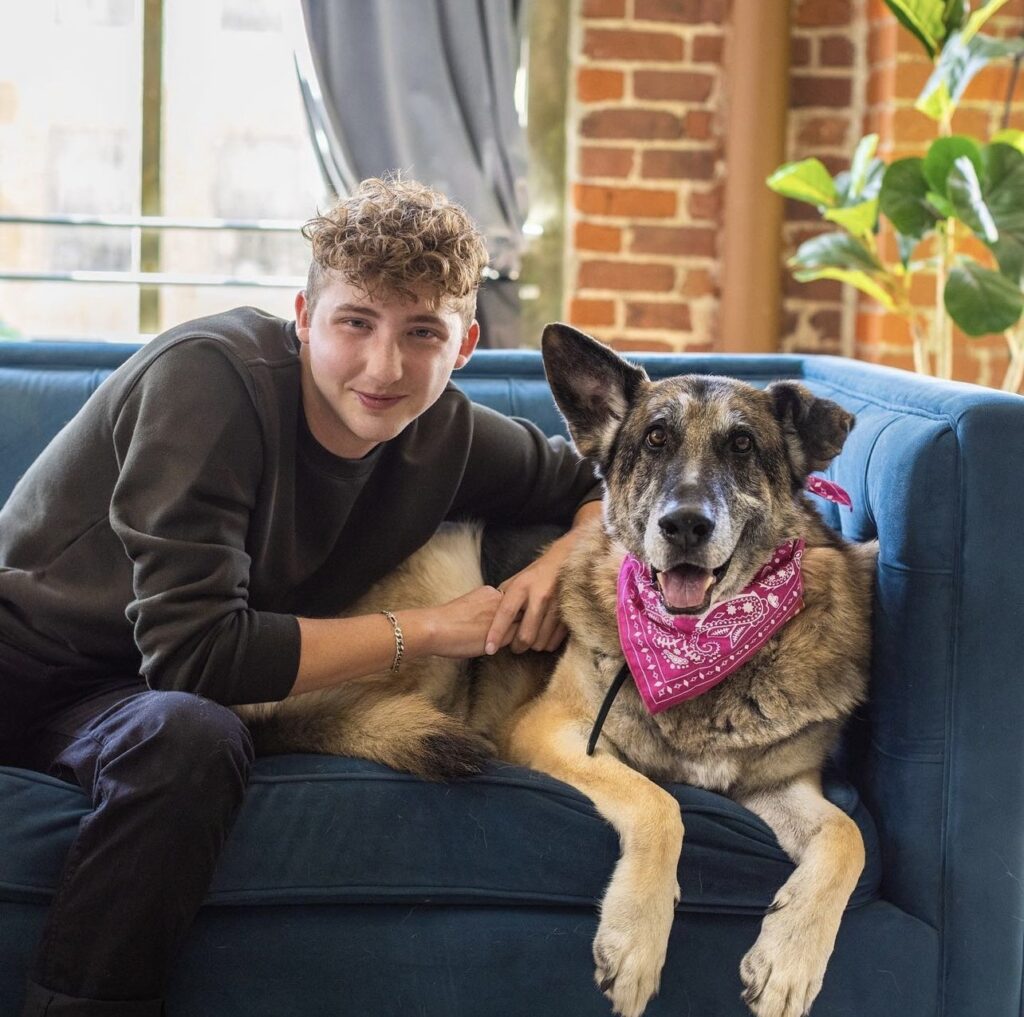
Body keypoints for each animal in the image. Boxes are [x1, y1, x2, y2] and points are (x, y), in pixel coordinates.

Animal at [235, 323, 876, 1015]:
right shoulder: (551, 730)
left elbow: (849, 839)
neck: (695, 651)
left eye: (742, 445)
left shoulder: (781, 786)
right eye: (655, 439)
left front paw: (790, 956)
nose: (683, 525)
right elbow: (660, 804)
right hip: (451, 582)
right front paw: (636, 940)